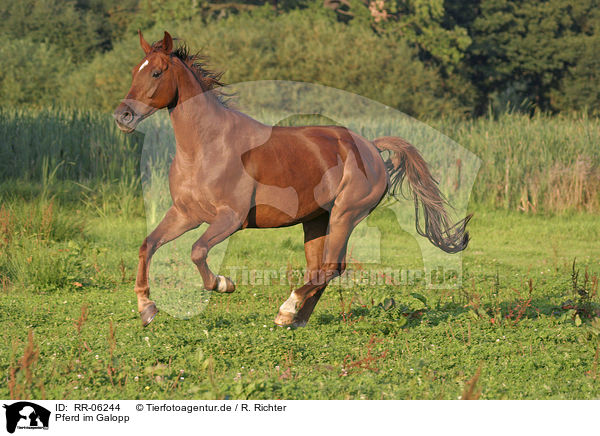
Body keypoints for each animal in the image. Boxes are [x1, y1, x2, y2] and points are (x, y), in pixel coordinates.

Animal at [111, 31, 468, 328]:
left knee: (330, 268)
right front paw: (147, 309)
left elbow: (198, 252)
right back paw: (295, 319)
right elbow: (148, 245)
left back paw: (287, 308)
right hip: (316, 220)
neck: (206, 147)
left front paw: (225, 284)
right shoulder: (185, 214)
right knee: (320, 269)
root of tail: (371, 147)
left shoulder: (231, 218)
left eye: (156, 73)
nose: (122, 116)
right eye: (134, 71)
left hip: (345, 214)